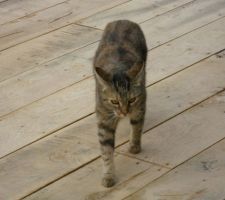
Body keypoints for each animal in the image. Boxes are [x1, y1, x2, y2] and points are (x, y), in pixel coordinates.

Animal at [93, 19, 148, 187]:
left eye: (131, 99)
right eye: (114, 101)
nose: (124, 112)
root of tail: (122, 20)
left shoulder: (140, 105)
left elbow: (136, 127)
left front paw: (134, 146)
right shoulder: (104, 120)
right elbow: (106, 150)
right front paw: (109, 175)